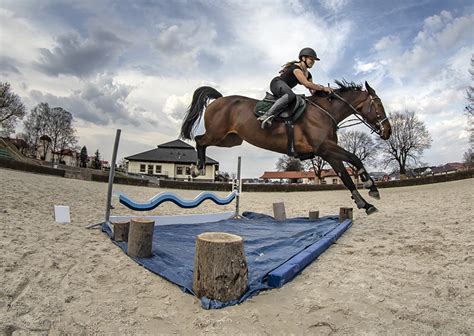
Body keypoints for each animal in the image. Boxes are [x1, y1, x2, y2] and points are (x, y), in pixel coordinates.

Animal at [180, 80, 390, 214]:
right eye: (379, 105)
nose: (388, 131)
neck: (325, 112)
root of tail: (219, 99)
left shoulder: (329, 153)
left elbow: (346, 178)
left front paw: (365, 203)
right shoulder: (325, 148)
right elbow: (355, 158)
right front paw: (371, 187)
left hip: (231, 139)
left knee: (202, 141)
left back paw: (196, 169)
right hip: (217, 134)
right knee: (199, 140)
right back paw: (197, 169)